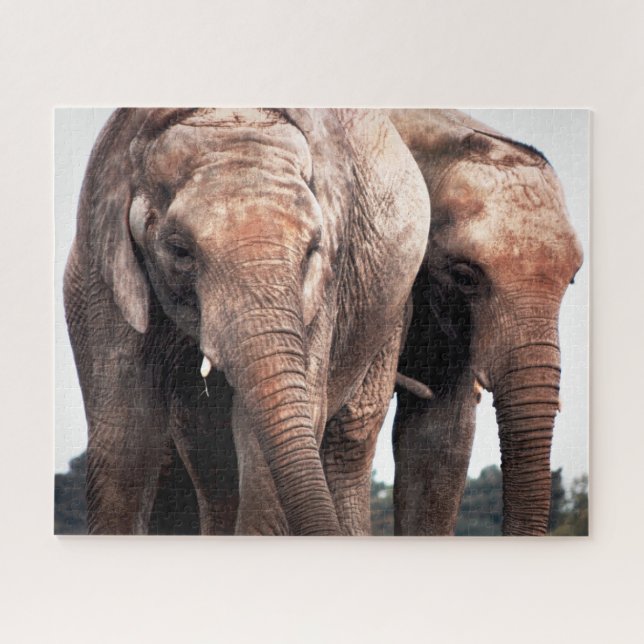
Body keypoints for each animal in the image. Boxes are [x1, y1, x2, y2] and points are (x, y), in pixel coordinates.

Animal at [63, 108, 430, 536]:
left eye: (313, 249)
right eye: (180, 251)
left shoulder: (323, 290)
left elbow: (264, 439)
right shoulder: (102, 268)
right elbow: (124, 439)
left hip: (390, 314)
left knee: (349, 441)